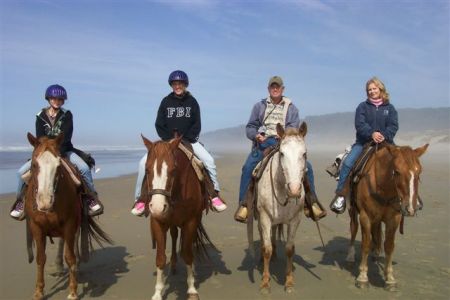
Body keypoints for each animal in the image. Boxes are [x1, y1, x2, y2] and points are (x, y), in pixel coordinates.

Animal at [25, 134, 112, 300]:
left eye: (59, 166)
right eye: (34, 164)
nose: (45, 201)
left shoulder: (70, 225)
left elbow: (70, 256)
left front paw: (73, 291)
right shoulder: (36, 227)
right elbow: (40, 258)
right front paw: (39, 291)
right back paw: (58, 267)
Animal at [142, 135, 217, 300]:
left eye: (173, 170)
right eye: (147, 169)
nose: (158, 207)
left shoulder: (190, 222)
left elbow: (187, 254)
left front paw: (192, 289)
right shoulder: (157, 221)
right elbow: (160, 258)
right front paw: (157, 293)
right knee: (174, 235)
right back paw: (174, 265)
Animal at [346, 142, 430, 288]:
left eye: (419, 172)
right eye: (396, 171)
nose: (410, 208)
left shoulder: (394, 219)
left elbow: (389, 246)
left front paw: (390, 278)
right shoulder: (365, 217)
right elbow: (365, 244)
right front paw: (362, 277)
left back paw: (376, 253)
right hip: (353, 210)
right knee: (353, 228)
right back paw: (350, 256)